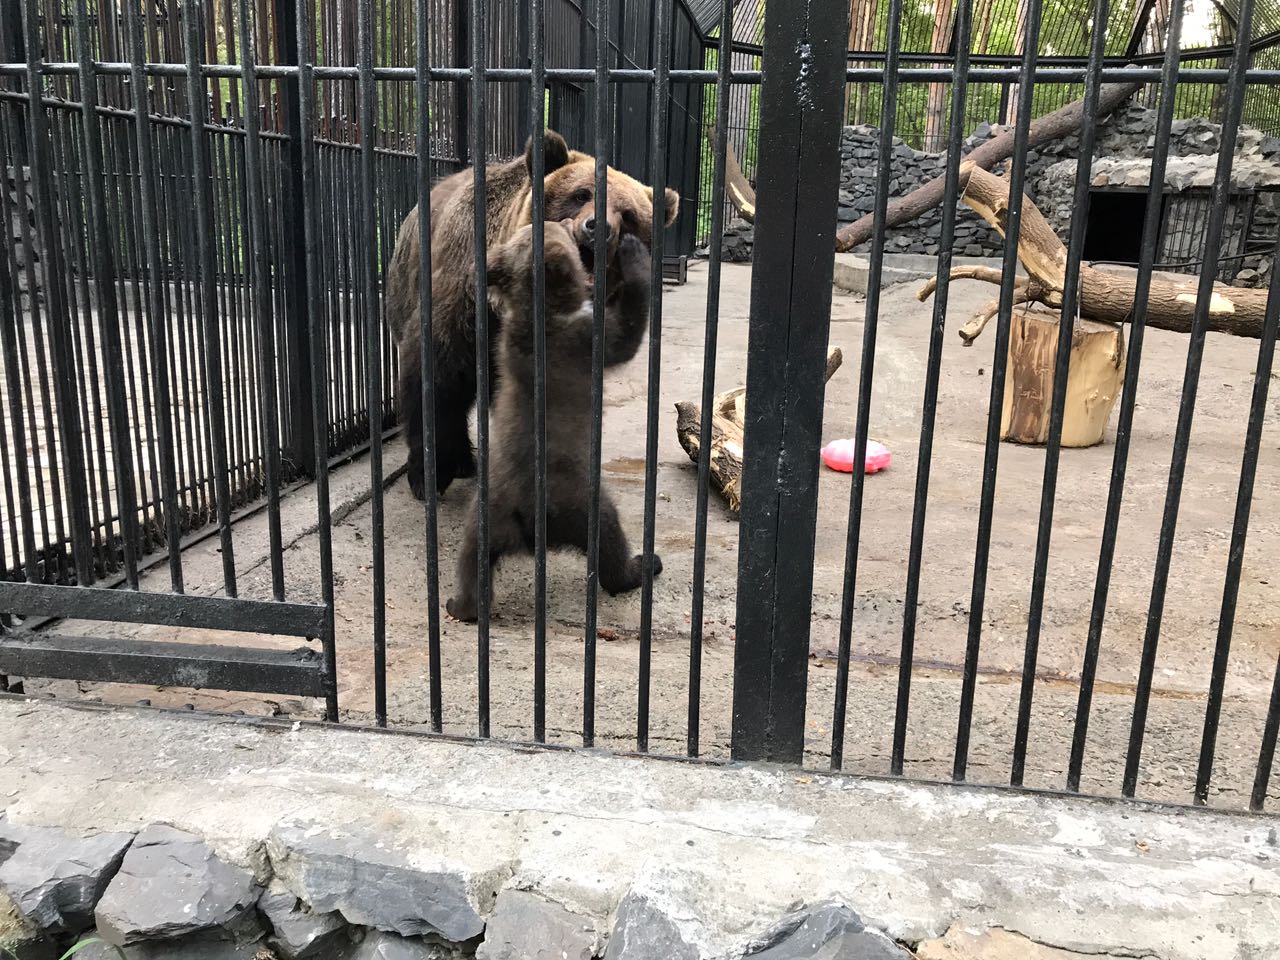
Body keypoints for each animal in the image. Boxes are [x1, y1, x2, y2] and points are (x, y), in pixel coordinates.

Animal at [383, 128, 679, 500]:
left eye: (627, 214)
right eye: (581, 194)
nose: (598, 227)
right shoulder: (462, 302)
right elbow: (435, 376)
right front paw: (430, 474)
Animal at [445, 219, 663, 623]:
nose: (572, 223)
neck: (539, 312)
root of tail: (525, 523)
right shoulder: (584, 340)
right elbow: (625, 333)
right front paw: (634, 253)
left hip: (483, 518)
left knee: (471, 561)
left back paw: (460, 605)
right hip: (582, 504)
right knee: (608, 546)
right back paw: (642, 566)